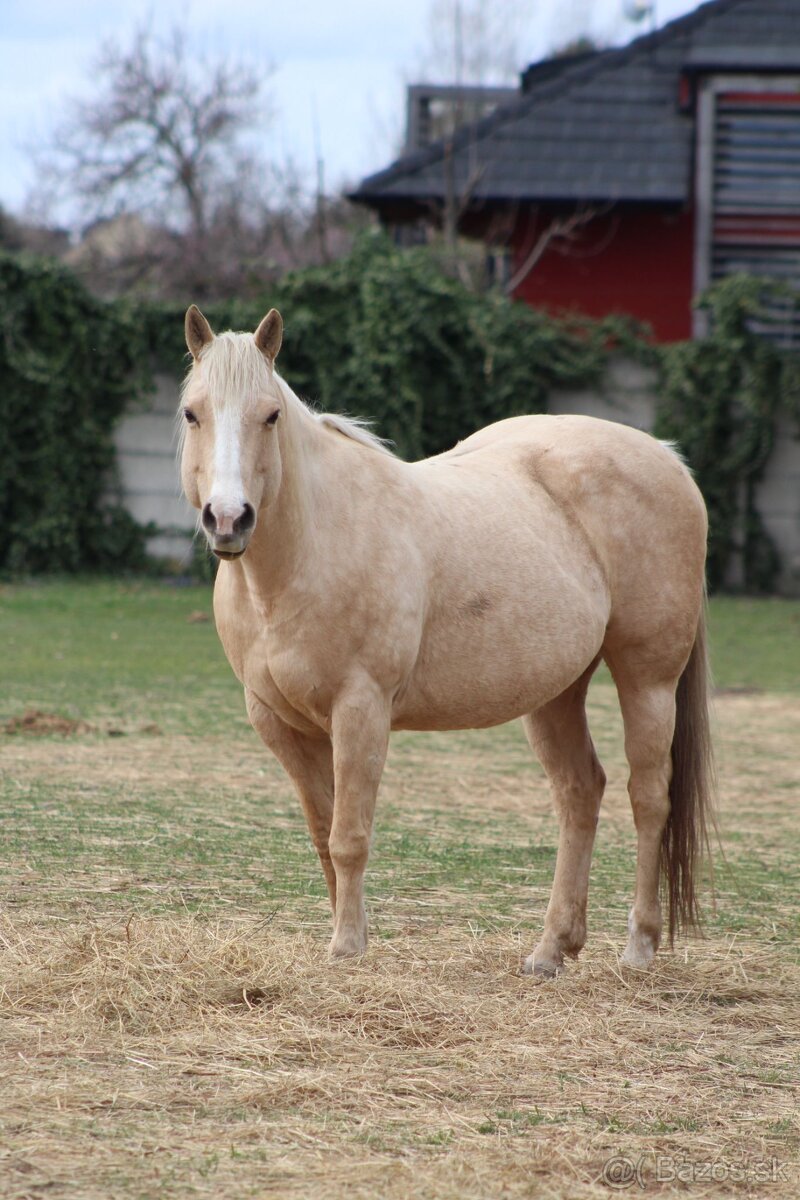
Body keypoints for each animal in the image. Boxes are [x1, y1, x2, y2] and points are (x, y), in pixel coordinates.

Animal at [179, 304, 714, 979]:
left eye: (270, 415)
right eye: (192, 413)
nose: (228, 519)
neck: (310, 548)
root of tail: (669, 459)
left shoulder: (360, 712)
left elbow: (349, 837)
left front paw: (347, 947)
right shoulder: (278, 723)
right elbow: (323, 834)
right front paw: (345, 936)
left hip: (648, 680)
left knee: (648, 799)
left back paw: (639, 946)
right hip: (556, 692)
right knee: (579, 792)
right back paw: (551, 949)